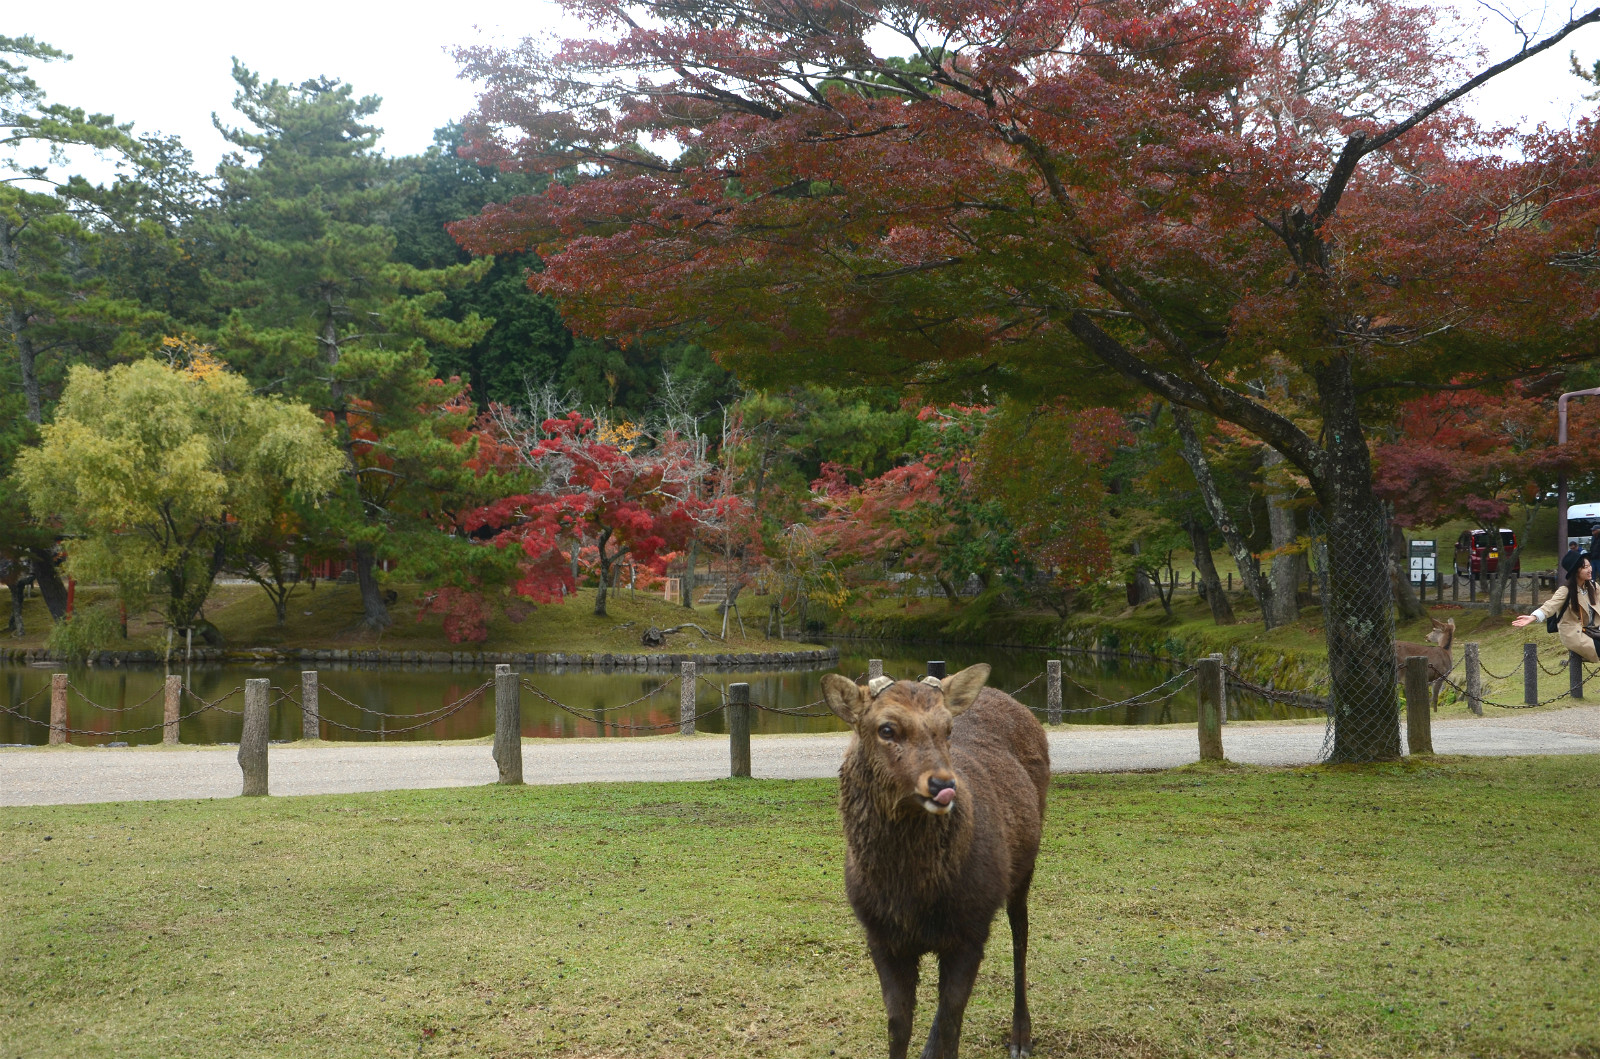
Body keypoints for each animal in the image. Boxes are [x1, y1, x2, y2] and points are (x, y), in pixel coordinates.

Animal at [819, 668, 1056, 1055]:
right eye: (887, 729)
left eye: (948, 729)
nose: (943, 784)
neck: (912, 896)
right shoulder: (880, 935)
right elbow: (899, 1027)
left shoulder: (972, 929)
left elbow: (950, 1025)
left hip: (1024, 868)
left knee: (1020, 936)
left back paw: (1021, 1035)